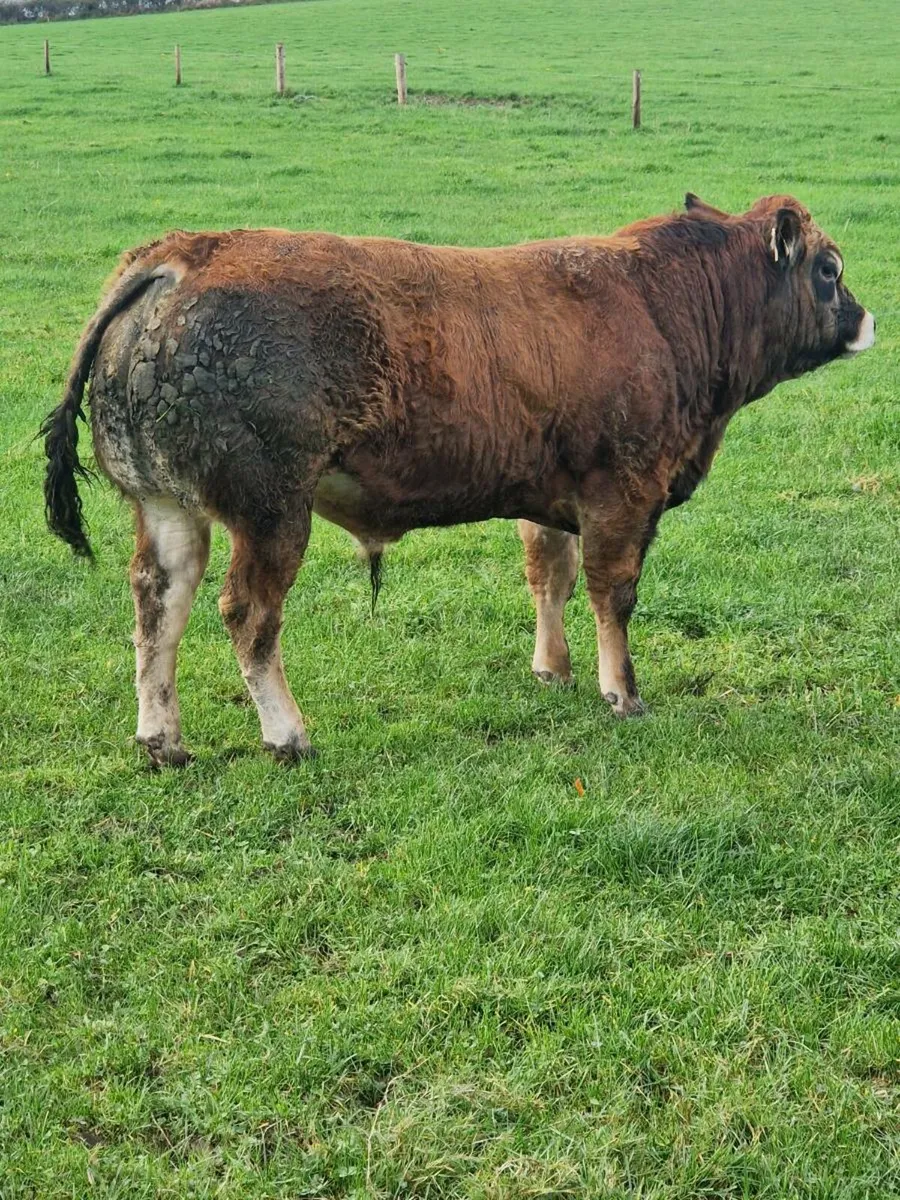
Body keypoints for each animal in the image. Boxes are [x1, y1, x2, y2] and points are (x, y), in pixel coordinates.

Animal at [42, 194, 875, 766]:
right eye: (828, 269)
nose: (868, 321)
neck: (663, 304)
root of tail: (185, 253)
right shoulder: (625, 492)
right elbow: (614, 593)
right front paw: (622, 692)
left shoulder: (553, 495)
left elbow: (550, 577)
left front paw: (553, 669)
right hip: (272, 511)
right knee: (248, 613)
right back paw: (287, 734)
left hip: (168, 506)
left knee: (160, 603)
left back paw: (163, 738)